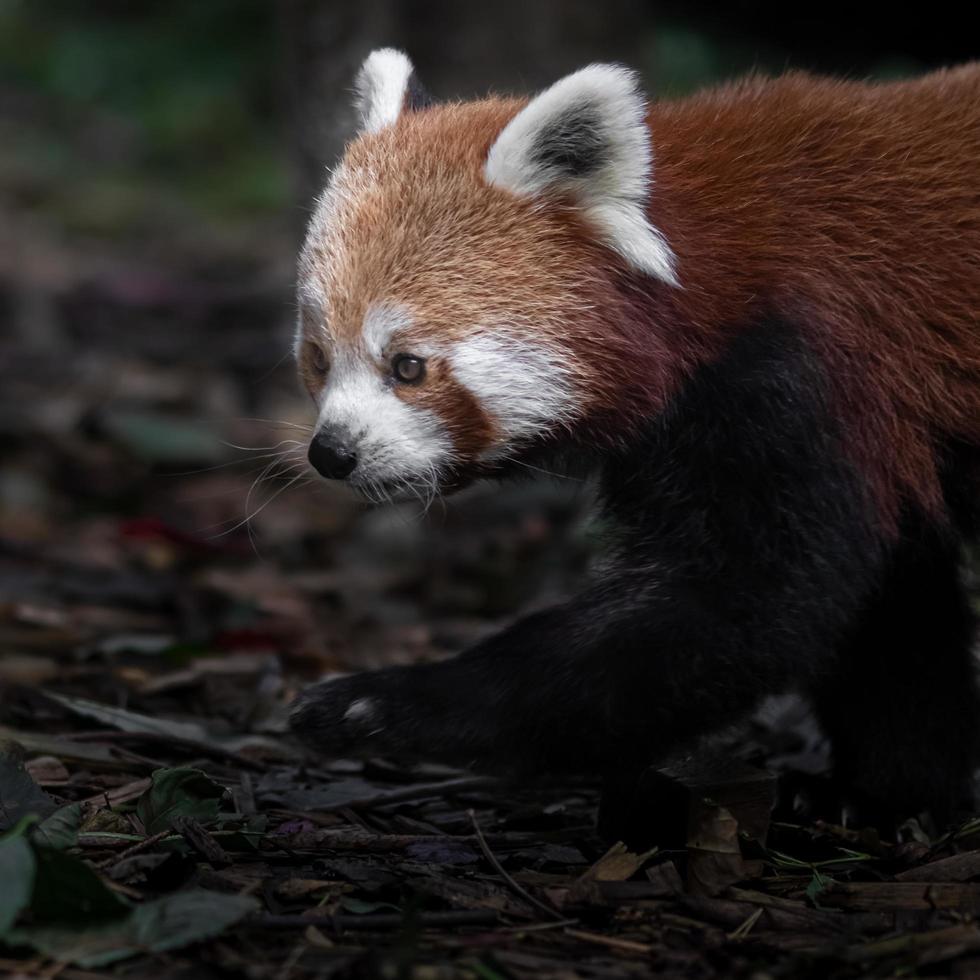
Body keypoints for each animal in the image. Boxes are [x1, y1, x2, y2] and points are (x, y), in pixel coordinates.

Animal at [290, 47, 980, 828]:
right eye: (319, 357)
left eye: (408, 366)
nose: (333, 453)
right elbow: (891, 610)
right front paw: (890, 794)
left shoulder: (801, 369)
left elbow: (744, 599)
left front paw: (387, 704)